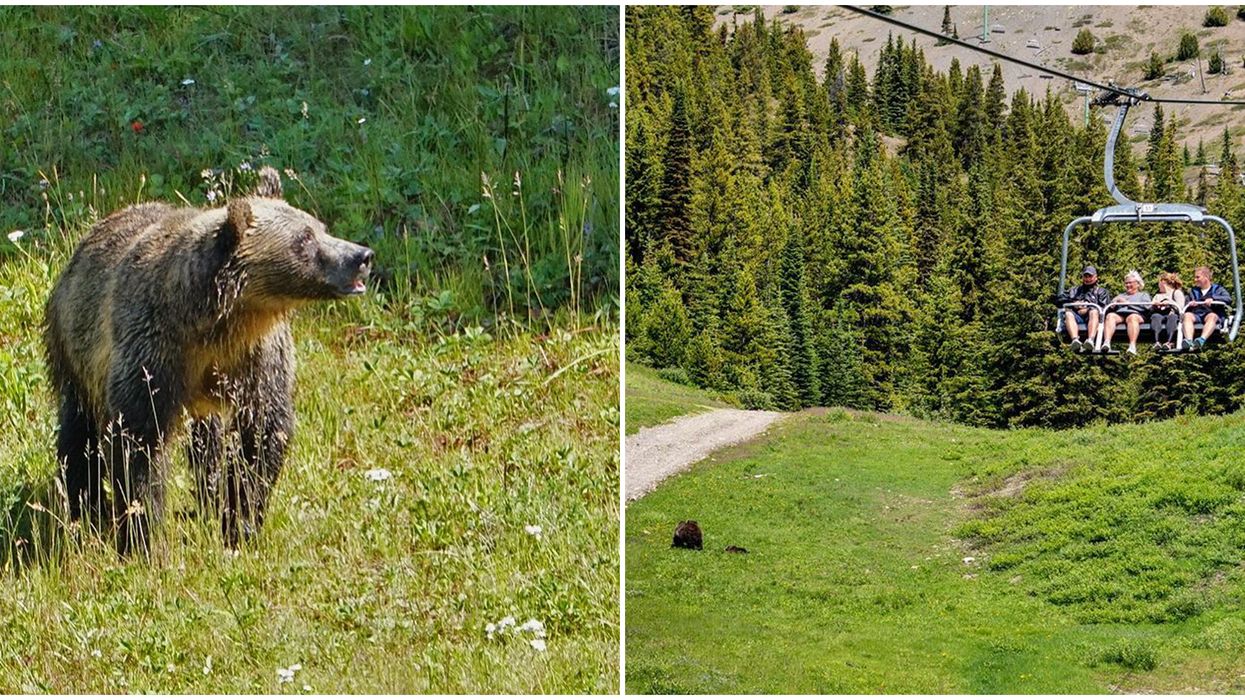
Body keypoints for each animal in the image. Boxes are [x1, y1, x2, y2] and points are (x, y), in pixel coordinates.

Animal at [44, 166, 373, 554]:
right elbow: (137, 440)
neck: (215, 324)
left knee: (207, 445)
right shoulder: (152, 348)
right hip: (73, 344)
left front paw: (240, 522)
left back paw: (207, 498)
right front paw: (142, 537)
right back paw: (83, 506)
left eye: (320, 226)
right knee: (78, 431)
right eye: (304, 238)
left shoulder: (255, 357)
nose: (361, 256)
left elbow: (261, 434)